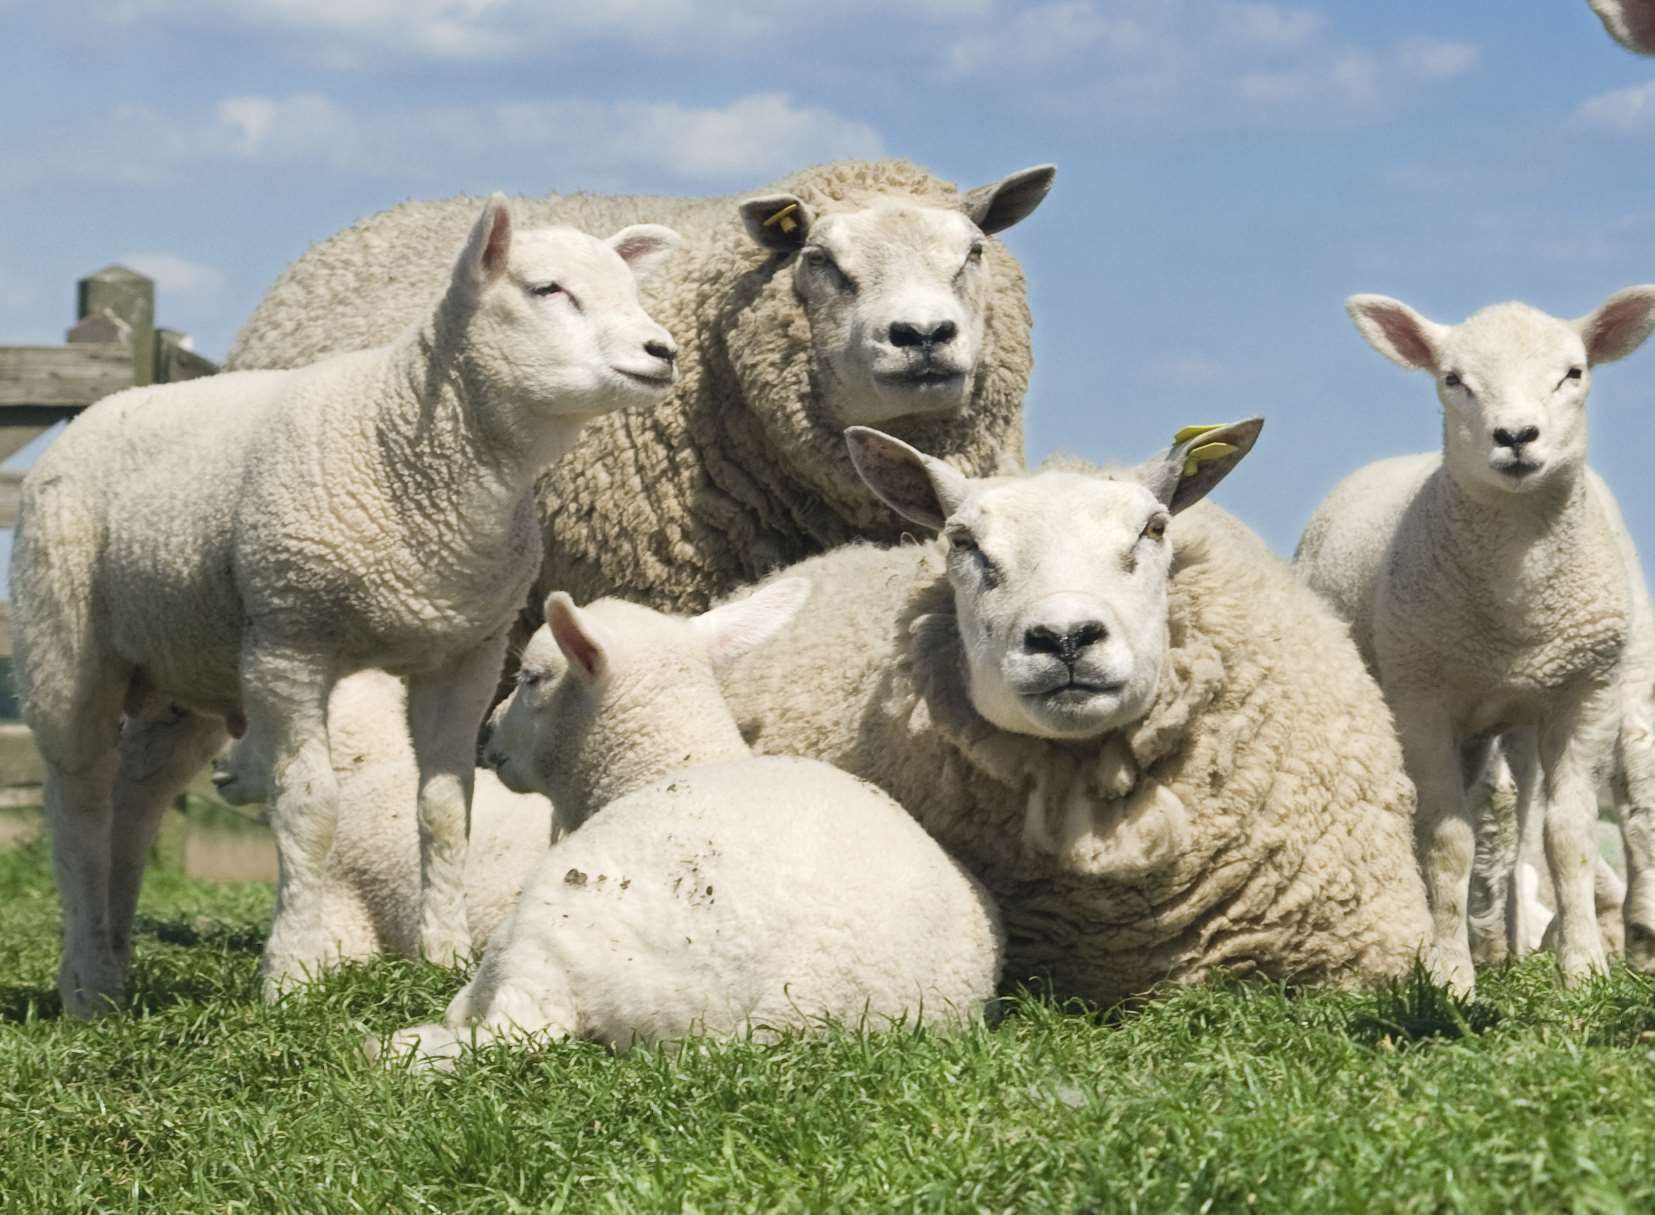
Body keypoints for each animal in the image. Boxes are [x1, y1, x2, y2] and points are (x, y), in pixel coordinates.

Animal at [9, 197, 681, 1019]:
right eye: (547, 289)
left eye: (628, 286)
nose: (663, 351)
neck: (411, 444)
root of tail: (108, 403)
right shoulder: (289, 637)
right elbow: (309, 803)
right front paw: (291, 970)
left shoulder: (465, 651)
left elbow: (445, 806)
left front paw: (445, 953)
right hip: (65, 644)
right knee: (78, 806)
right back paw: (85, 982)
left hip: (183, 666)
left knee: (136, 803)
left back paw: (114, 956)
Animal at [378, 579, 999, 1066]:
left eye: (531, 677)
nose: (488, 737)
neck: (671, 757)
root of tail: (806, 996)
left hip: (562, 929)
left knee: (517, 1026)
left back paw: (395, 1048)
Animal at [1290, 288, 1655, 999]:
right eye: (1453, 380)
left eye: (1573, 373)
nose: (1515, 437)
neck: (1519, 596)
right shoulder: (1422, 699)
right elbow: (1446, 840)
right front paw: (1449, 975)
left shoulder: (1588, 693)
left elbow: (1567, 834)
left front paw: (1582, 967)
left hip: (1514, 720)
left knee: (1521, 828)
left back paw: (1513, 948)